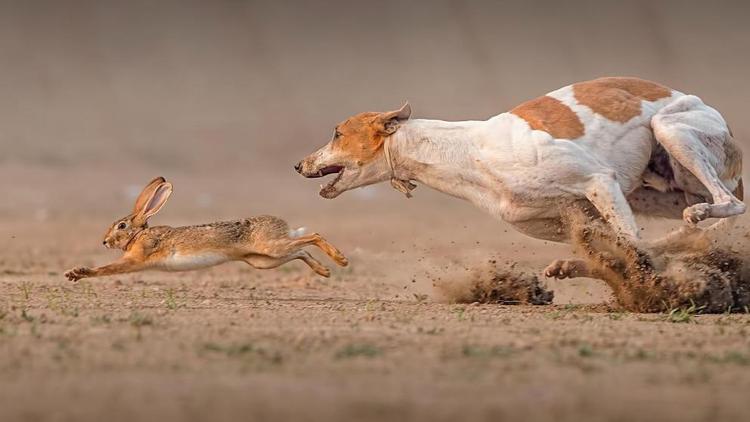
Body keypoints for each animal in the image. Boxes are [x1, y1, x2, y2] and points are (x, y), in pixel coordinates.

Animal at [296, 76, 748, 280]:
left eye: (337, 133)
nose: (298, 166)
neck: (469, 151)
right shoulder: (573, 216)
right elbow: (621, 248)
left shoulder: (598, 180)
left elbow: (632, 247)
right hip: (654, 192)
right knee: (684, 232)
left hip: (672, 132)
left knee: (729, 204)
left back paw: (704, 212)